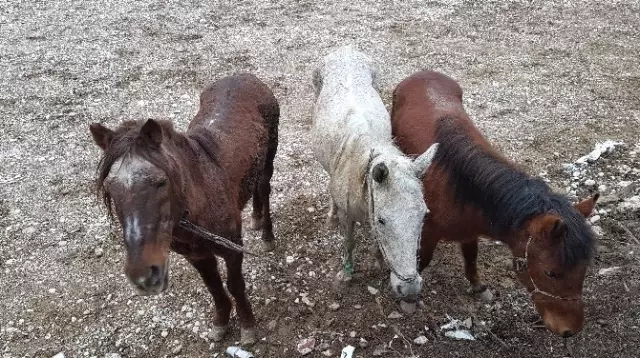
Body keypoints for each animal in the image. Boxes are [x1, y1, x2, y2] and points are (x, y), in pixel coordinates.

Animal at [87, 72, 278, 344]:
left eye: (160, 182)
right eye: (111, 188)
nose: (143, 276)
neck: (199, 202)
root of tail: (245, 76)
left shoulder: (232, 249)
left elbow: (234, 285)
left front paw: (247, 326)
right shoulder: (196, 256)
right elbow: (213, 287)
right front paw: (221, 323)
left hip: (268, 159)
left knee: (263, 188)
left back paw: (267, 234)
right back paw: (255, 217)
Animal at [312, 46, 440, 300]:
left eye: (423, 215)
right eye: (382, 220)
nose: (409, 289)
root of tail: (345, 48)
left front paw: (378, 261)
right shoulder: (349, 215)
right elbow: (349, 242)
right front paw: (346, 274)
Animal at [390, 70, 600, 338]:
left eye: (584, 269)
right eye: (551, 272)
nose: (569, 331)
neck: (461, 186)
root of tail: (422, 73)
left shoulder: (469, 232)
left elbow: (471, 258)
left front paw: (478, 287)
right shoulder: (428, 230)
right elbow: (422, 261)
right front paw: (409, 298)